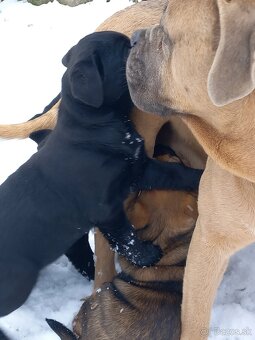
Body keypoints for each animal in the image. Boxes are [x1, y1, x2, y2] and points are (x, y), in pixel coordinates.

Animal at [0, 30, 203, 318]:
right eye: (124, 50)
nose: (138, 36)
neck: (96, 126)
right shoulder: (106, 208)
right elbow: (125, 236)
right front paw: (146, 256)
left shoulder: (140, 169)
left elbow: (175, 172)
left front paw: (201, 175)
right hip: (18, 282)